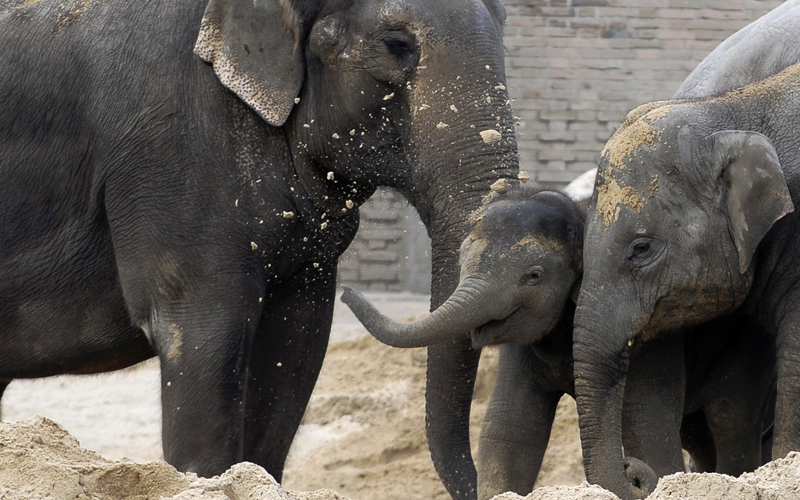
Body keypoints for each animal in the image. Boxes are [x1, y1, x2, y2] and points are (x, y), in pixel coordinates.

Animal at [342, 183, 776, 500]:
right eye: (464, 258)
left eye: (533, 275)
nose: (345, 291)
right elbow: (511, 428)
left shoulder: (646, 331)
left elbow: (646, 422)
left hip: (745, 347)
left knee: (728, 419)